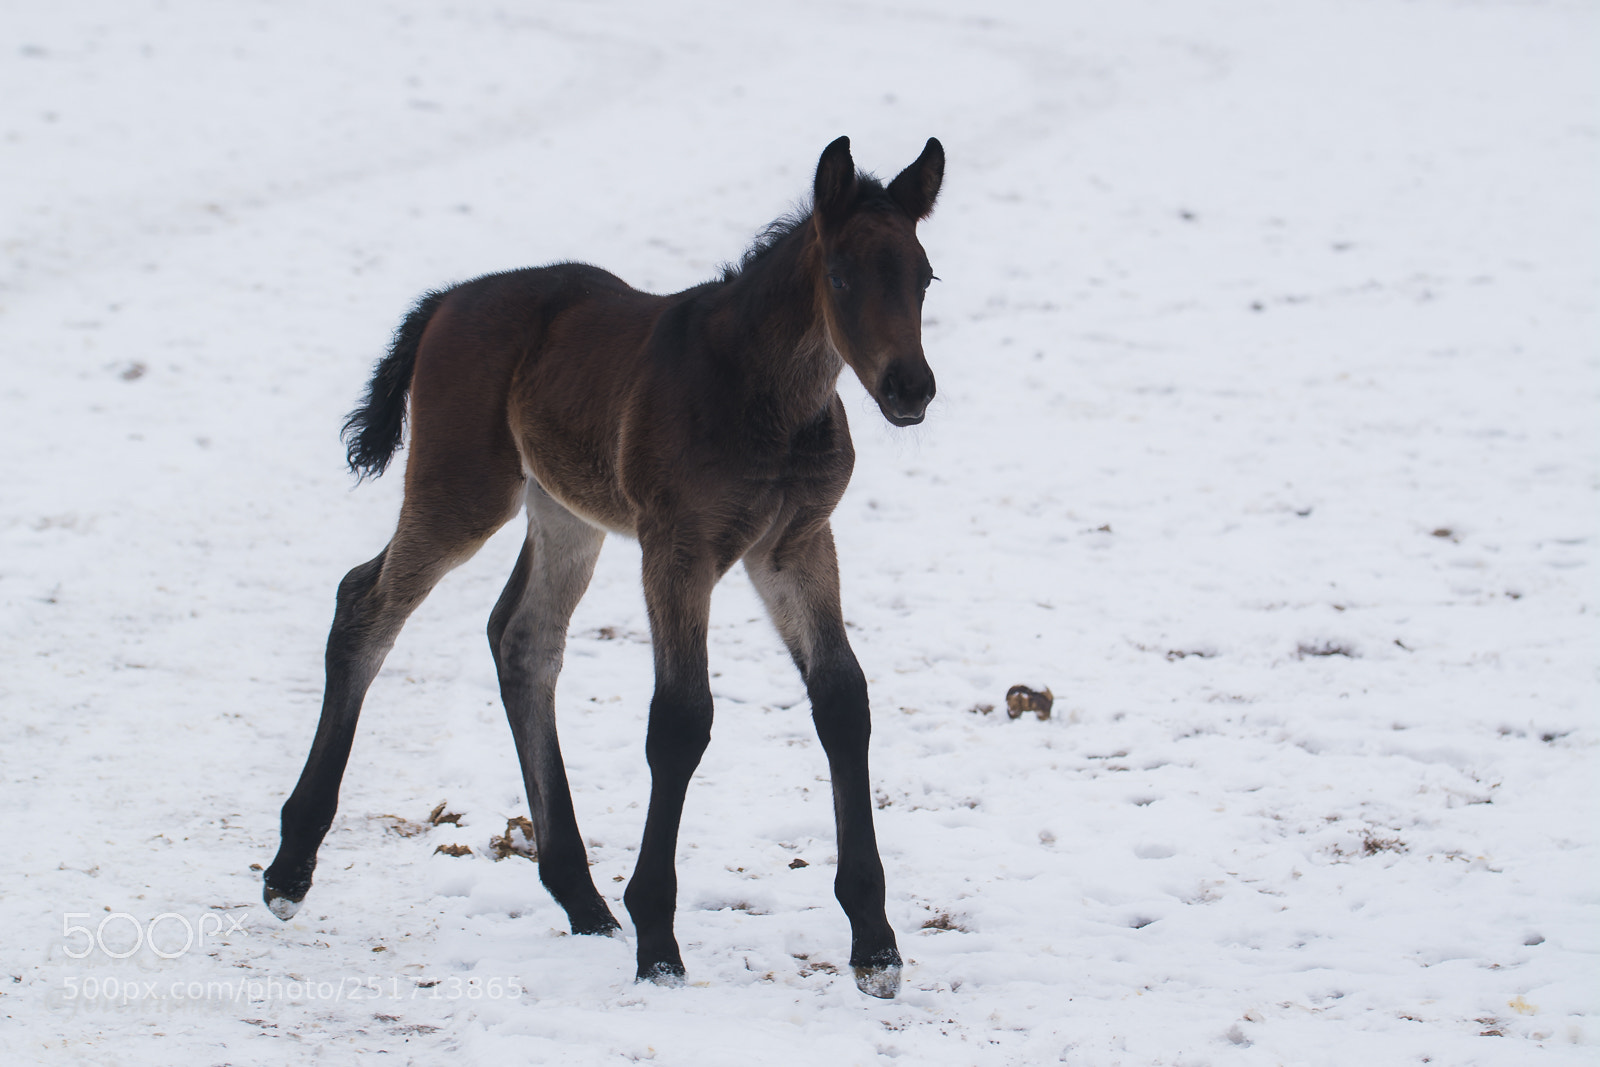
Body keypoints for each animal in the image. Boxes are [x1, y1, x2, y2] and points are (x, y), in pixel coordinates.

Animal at [263, 136, 944, 999]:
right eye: (843, 277)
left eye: (924, 277)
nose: (910, 388)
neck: (763, 390)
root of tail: (448, 300)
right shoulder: (678, 547)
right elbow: (681, 719)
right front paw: (659, 941)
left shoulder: (795, 546)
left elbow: (843, 699)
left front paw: (875, 943)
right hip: (462, 488)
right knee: (367, 606)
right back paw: (289, 868)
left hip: (564, 512)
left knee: (522, 638)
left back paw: (580, 896)